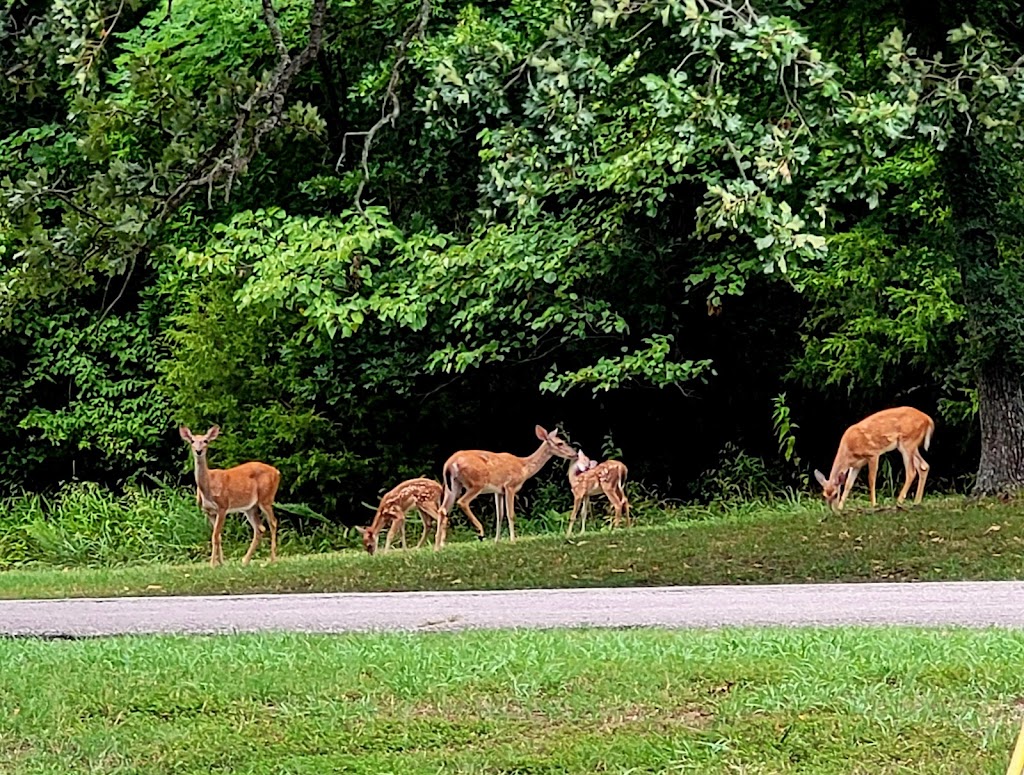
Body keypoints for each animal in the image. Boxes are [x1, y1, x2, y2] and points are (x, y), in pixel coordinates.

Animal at [177, 425, 280, 565]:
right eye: (192, 441)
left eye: (206, 441)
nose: (198, 451)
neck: (208, 486)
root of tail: (277, 472)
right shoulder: (208, 511)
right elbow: (218, 536)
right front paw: (221, 563)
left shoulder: (223, 506)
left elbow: (215, 535)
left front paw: (212, 564)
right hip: (250, 507)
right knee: (259, 528)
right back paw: (245, 561)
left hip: (266, 498)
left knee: (273, 523)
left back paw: (272, 560)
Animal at [440, 423, 577, 544]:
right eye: (560, 443)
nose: (575, 454)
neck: (524, 467)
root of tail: (449, 463)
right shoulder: (510, 486)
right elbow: (510, 514)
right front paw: (513, 540)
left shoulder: (498, 491)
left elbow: (499, 515)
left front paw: (497, 541)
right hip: (476, 483)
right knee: (462, 502)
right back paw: (480, 531)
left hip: (452, 485)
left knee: (442, 509)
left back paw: (439, 546)